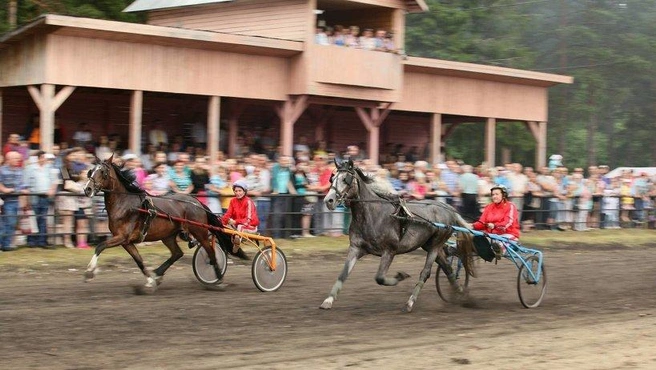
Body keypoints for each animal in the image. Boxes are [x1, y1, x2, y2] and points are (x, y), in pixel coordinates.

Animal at [81, 155, 234, 290]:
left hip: (199, 232)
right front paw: (150, 280)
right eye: (91, 170)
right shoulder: (126, 241)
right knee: (177, 253)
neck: (125, 205)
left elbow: (100, 246)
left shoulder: (122, 237)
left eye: (103, 171)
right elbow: (139, 260)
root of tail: (196, 202)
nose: (87, 189)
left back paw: (219, 279)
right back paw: (158, 274)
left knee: (210, 252)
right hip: (168, 236)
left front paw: (89, 272)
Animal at [320, 160, 474, 312]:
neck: (373, 214)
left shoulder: (390, 250)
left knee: (426, 272)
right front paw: (328, 301)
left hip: (436, 245)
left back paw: (410, 302)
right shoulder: (356, 248)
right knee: (447, 268)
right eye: (332, 179)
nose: (329, 200)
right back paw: (461, 293)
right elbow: (343, 274)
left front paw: (401, 276)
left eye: (345, 179)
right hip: (429, 245)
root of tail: (449, 209)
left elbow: (380, 278)